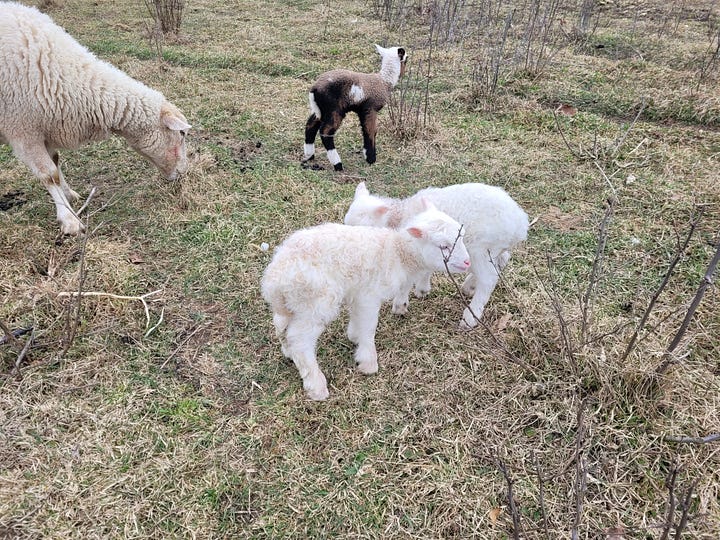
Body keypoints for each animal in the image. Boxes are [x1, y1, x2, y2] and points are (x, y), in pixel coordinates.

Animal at [0, 2, 191, 235]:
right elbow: (49, 175)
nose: (183, 173)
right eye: (181, 133)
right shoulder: (23, 131)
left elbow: (56, 162)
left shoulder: (45, 127)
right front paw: (69, 220)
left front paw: (69, 194)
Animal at [261, 201, 470, 401]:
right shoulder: (369, 296)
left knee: (281, 324)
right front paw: (368, 362)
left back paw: (288, 352)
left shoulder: (358, 294)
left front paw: (354, 337)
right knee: (300, 340)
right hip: (316, 303)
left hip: (293, 303)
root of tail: (274, 279)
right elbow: (369, 326)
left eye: (461, 238)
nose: (468, 262)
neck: (398, 252)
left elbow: (358, 320)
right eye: (443, 246)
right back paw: (316, 385)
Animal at [343, 182, 529, 330]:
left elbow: (408, 279)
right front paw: (423, 289)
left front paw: (400, 305)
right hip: (494, 249)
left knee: (488, 278)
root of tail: (521, 225)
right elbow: (427, 269)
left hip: (479, 248)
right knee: (501, 261)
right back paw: (469, 286)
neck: (401, 216)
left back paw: (470, 317)